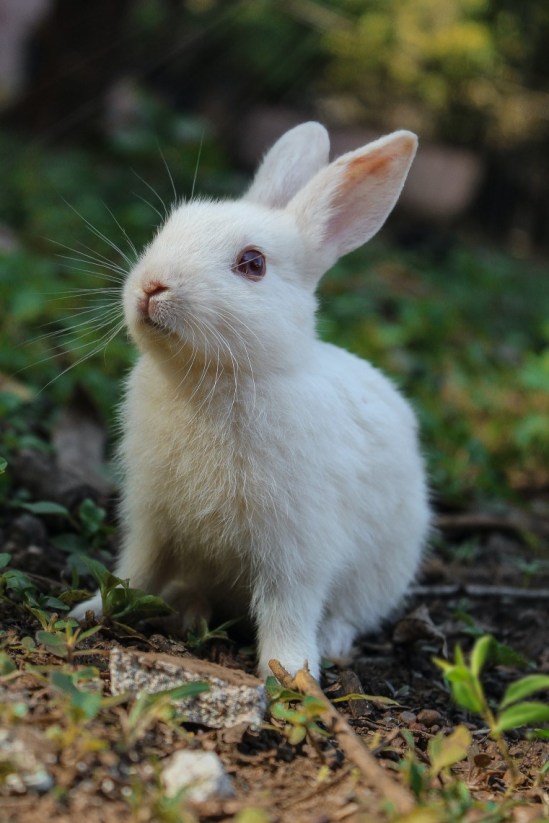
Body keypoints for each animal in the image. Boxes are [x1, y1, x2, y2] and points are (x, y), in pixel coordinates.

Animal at [71, 122, 430, 680]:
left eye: (253, 264)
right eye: (169, 227)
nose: (152, 286)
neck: (213, 378)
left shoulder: (296, 548)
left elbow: (288, 608)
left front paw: (291, 673)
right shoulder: (151, 519)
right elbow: (135, 570)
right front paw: (91, 610)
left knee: (350, 612)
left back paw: (331, 642)